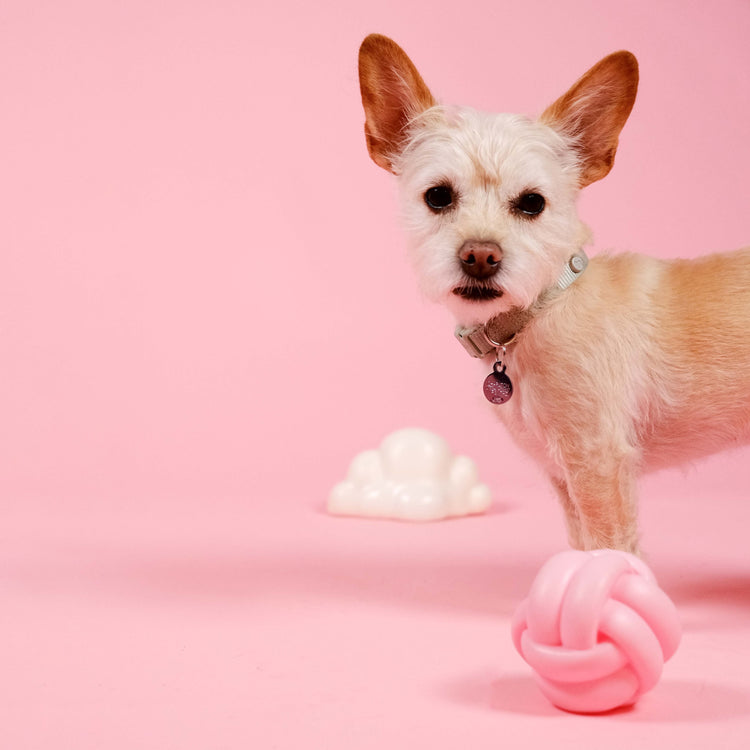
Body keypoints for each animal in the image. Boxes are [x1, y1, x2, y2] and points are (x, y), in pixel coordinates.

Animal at [356, 32, 750, 556]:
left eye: (532, 203)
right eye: (437, 197)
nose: (480, 256)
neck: (539, 311)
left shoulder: (598, 466)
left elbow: (609, 553)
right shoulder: (566, 477)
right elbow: (580, 551)